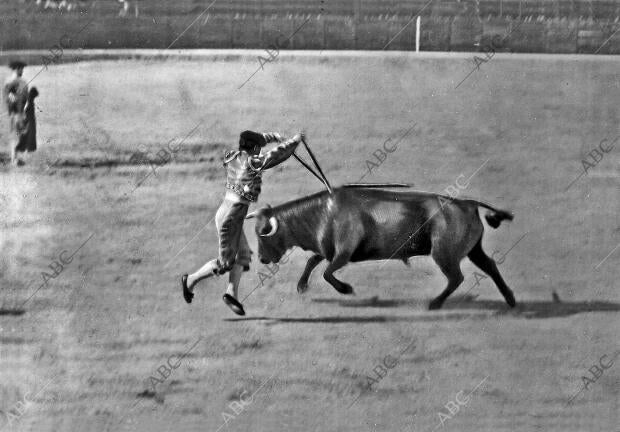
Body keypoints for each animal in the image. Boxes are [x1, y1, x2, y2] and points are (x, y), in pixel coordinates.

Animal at [247, 186, 520, 310]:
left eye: (264, 235)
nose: (261, 259)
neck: (322, 212)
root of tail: (468, 203)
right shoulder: (328, 251)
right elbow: (313, 261)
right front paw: (301, 286)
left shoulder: (343, 254)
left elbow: (326, 272)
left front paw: (346, 289)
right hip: (473, 250)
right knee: (489, 266)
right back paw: (510, 299)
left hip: (443, 254)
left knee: (456, 277)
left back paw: (434, 303)